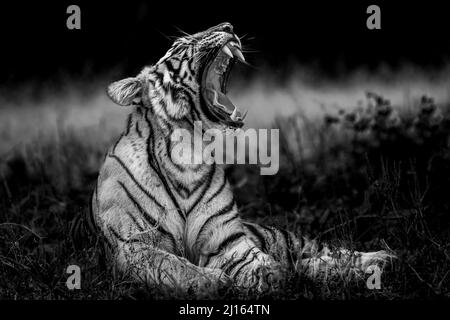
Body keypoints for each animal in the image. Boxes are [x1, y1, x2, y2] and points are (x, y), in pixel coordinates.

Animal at [90, 22, 394, 296]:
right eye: (180, 45)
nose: (228, 26)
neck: (187, 154)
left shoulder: (226, 239)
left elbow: (252, 260)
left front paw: (269, 275)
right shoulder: (132, 244)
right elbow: (173, 265)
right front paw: (216, 281)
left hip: (286, 237)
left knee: (328, 250)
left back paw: (381, 258)